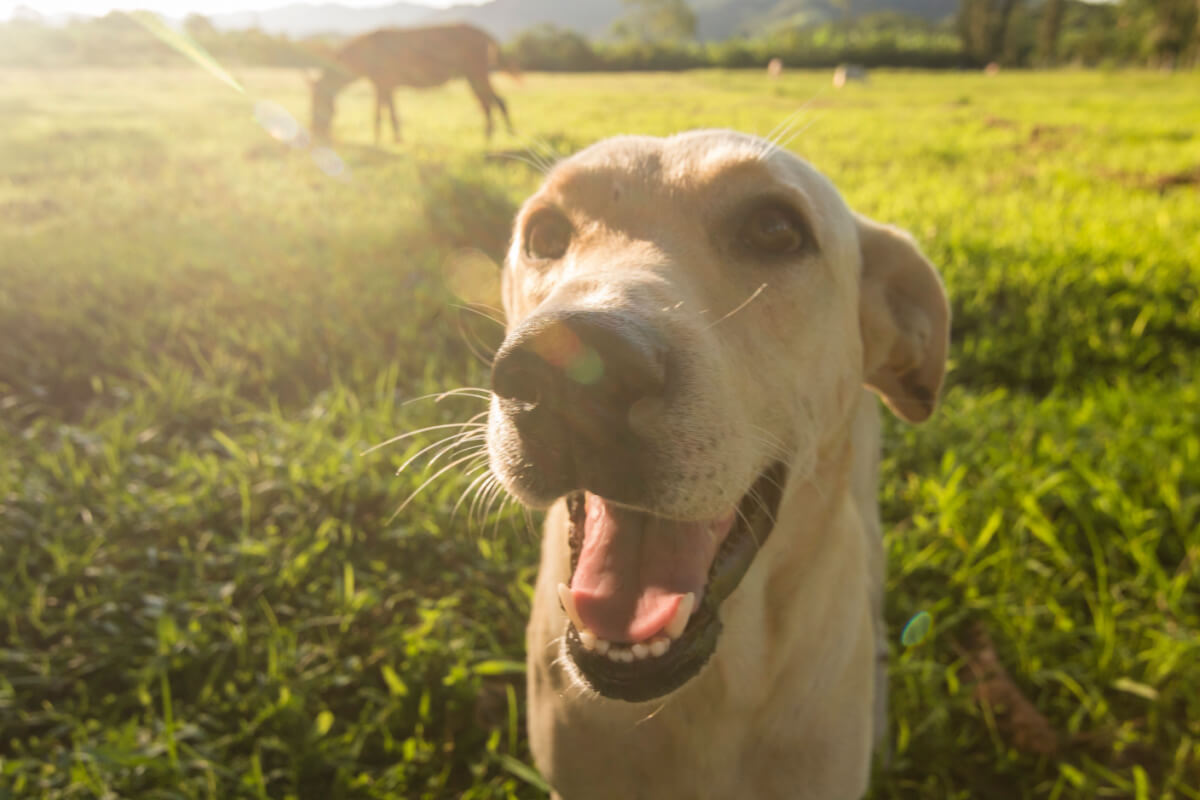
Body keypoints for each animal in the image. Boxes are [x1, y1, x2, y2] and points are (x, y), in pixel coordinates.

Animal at [309, 24, 516, 143]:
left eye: (317, 104)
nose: (316, 134)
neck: (365, 54)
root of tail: (483, 32)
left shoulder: (385, 84)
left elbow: (383, 113)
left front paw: (385, 141)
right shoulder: (383, 85)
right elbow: (385, 112)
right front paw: (388, 139)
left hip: (476, 72)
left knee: (492, 102)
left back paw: (491, 139)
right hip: (472, 75)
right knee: (493, 102)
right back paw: (501, 136)